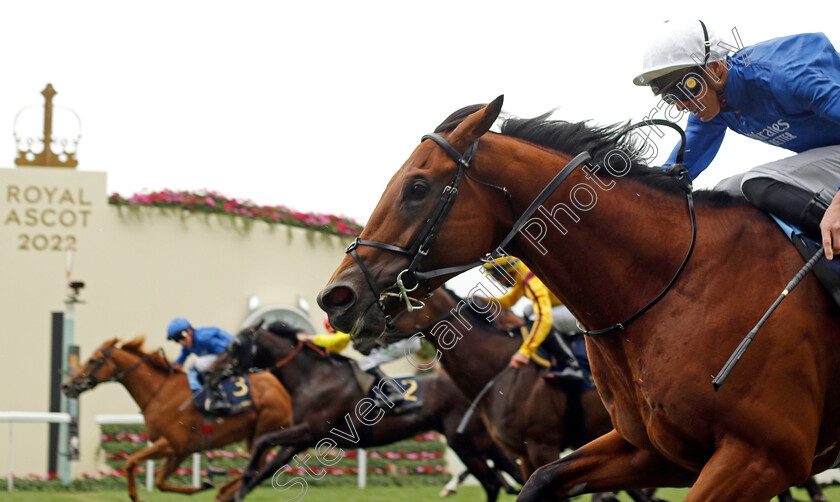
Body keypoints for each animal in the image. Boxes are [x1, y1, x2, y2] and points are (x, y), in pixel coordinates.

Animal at [60, 338, 294, 502]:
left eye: (92, 360)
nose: (66, 385)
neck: (159, 392)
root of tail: (284, 389)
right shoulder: (179, 451)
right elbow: (160, 482)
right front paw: (201, 486)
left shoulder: (172, 443)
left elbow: (130, 461)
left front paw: (136, 496)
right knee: (258, 467)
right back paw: (226, 490)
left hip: (263, 432)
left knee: (257, 467)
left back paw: (225, 490)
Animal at [318, 96, 840, 500]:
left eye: (417, 186)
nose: (335, 298)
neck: (674, 286)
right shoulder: (655, 450)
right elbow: (539, 484)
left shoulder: (761, 456)